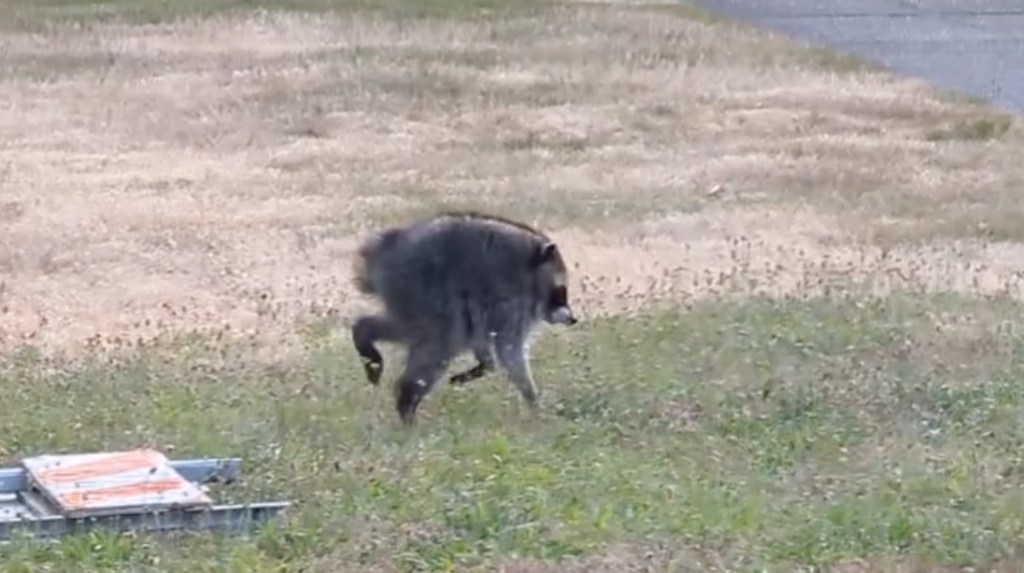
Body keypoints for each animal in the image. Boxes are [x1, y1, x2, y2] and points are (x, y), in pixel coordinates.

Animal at [351, 210, 578, 425]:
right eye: (561, 291)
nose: (573, 319)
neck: (531, 270)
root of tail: (384, 249)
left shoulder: (489, 312)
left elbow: (485, 343)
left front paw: (485, 366)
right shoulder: (511, 305)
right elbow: (509, 352)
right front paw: (533, 399)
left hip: (409, 296)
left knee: (413, 331)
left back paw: (363, 332)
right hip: (419, 289)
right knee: (439, 341)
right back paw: (407, 401)